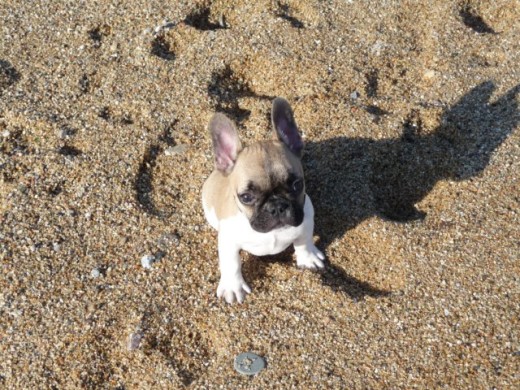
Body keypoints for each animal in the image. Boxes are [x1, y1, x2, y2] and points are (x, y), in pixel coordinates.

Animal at [201, 97, 322, 304]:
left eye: (297, 184)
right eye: (246, 197)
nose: (277, 206)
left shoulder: (306, 219)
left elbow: (304, 241)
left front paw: (307, 258)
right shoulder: (228, 241)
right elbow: (231, 263)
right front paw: (233, 286)